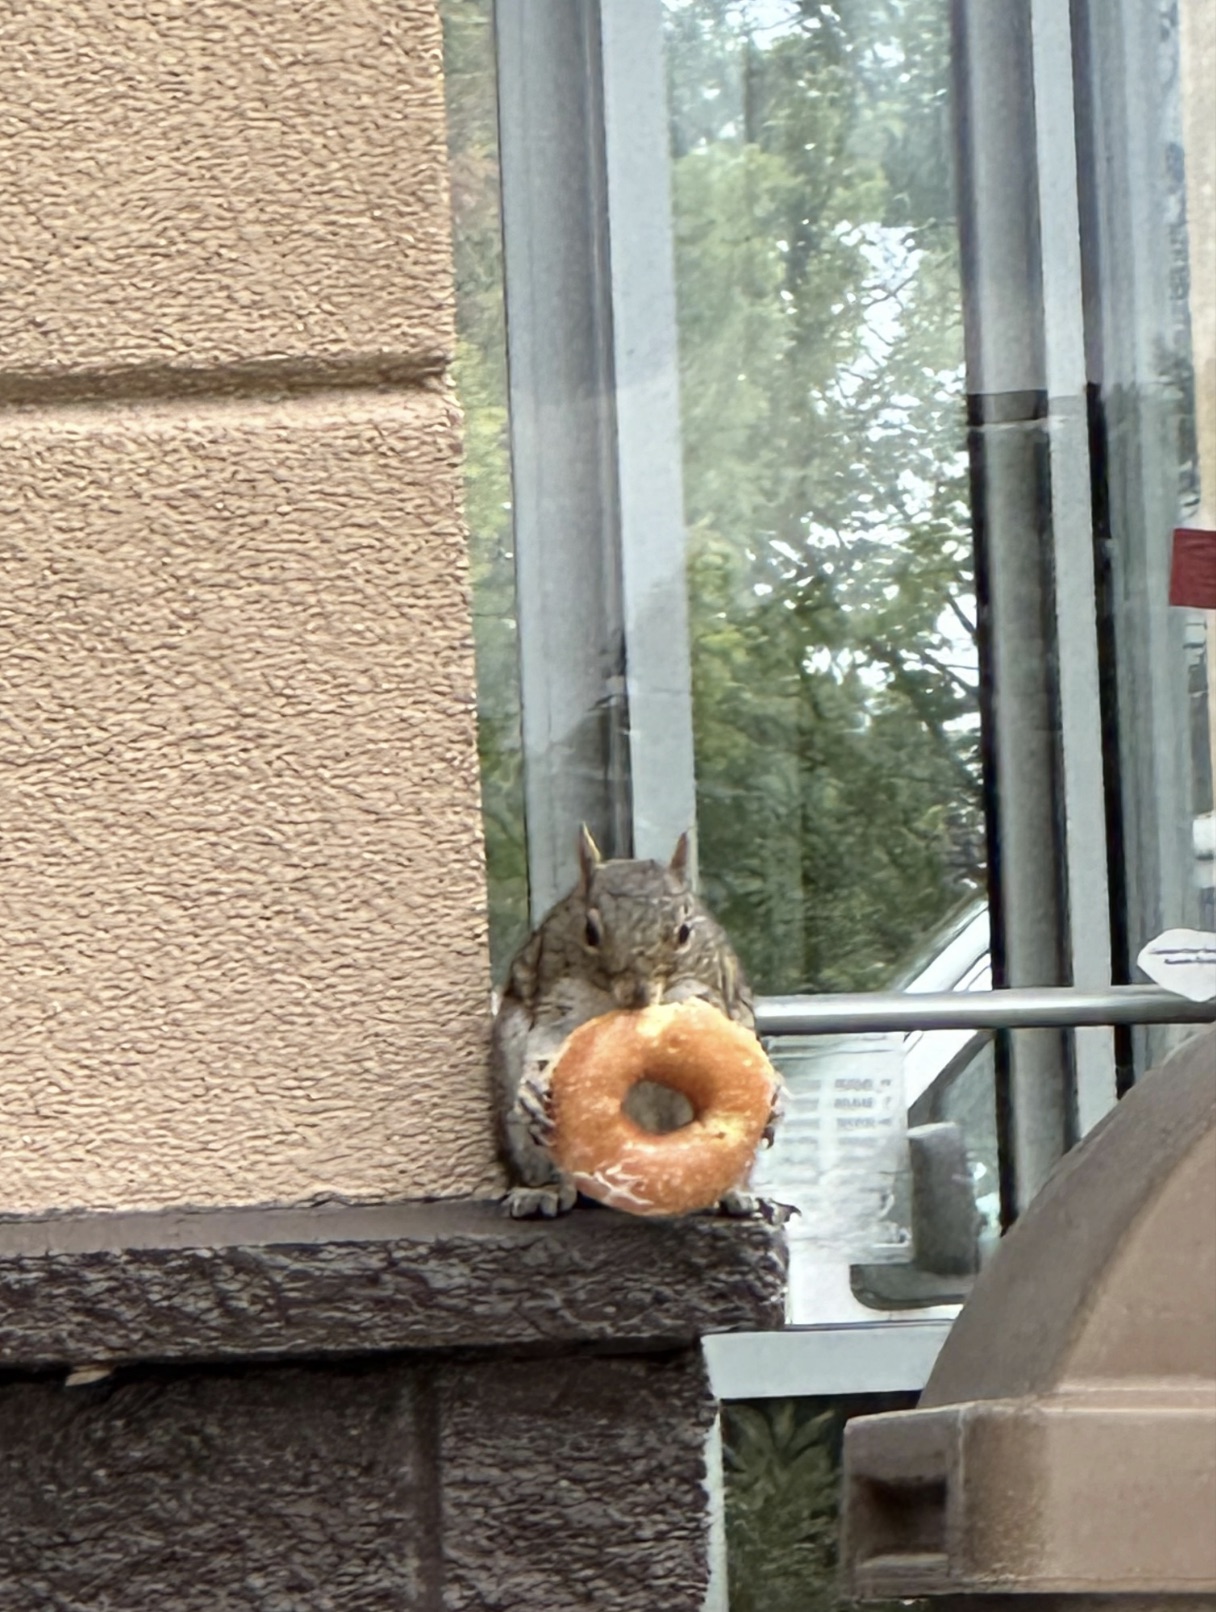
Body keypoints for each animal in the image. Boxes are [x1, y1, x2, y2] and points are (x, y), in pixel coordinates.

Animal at [487, 825, 770, 1212]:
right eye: (590, 932)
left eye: (684, 932)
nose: (638, 994)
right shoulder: (558, 996)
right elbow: (547, 1039)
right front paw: (532, 1085)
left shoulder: (708, 991)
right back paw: (542, 1190)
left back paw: (731, 1193)